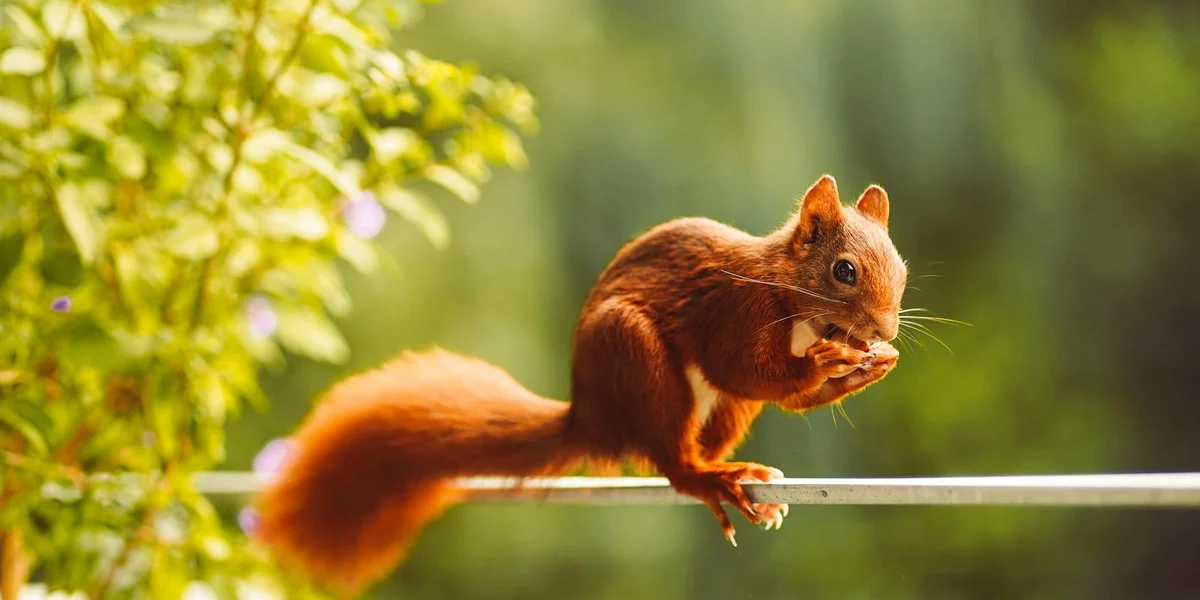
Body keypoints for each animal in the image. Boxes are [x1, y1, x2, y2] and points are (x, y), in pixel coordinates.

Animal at [255, 174, 907, 595]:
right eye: (844, 270)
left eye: (900, 269)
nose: (884, 329)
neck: (796, 306)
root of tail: (592, 417)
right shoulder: (734, 312)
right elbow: (744, 369)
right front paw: (831, 365)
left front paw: (870, 364)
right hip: (634, 356)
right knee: (673, 463)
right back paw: (712, 478)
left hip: (722, 411)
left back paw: (735, 474)